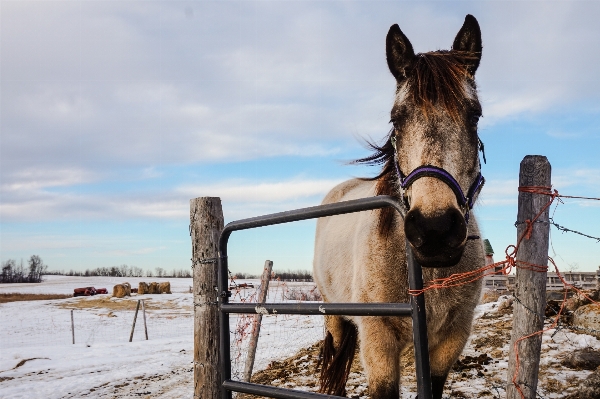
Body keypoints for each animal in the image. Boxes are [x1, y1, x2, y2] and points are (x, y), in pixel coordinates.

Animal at [314, 14, 488, 398]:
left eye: (474, 116)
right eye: (396, 119)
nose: (435, 229)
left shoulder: (451, 340)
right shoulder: (378, 342)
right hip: (334, 316)